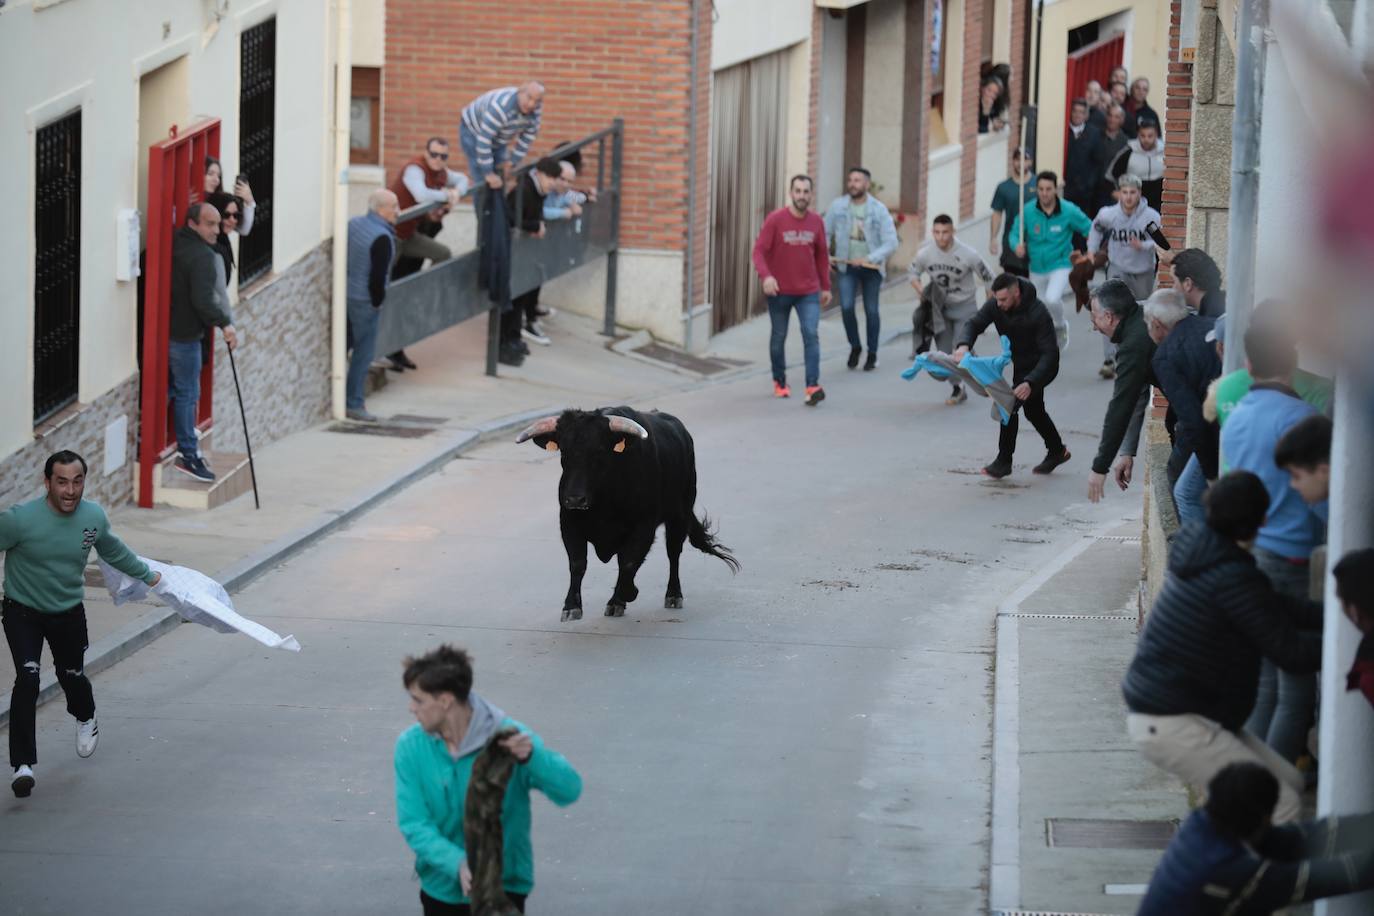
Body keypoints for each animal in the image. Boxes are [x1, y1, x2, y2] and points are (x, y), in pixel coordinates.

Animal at [516, 409, 736, 623]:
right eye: (564, 451)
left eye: (599, 450)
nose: (575, 499)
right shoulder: (569, 524)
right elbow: (578, 564)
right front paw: (571, 607)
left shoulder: (643, 527)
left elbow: (628, 563)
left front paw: (625, 595)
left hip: (679, 515)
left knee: (673, 553)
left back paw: (673, 595)